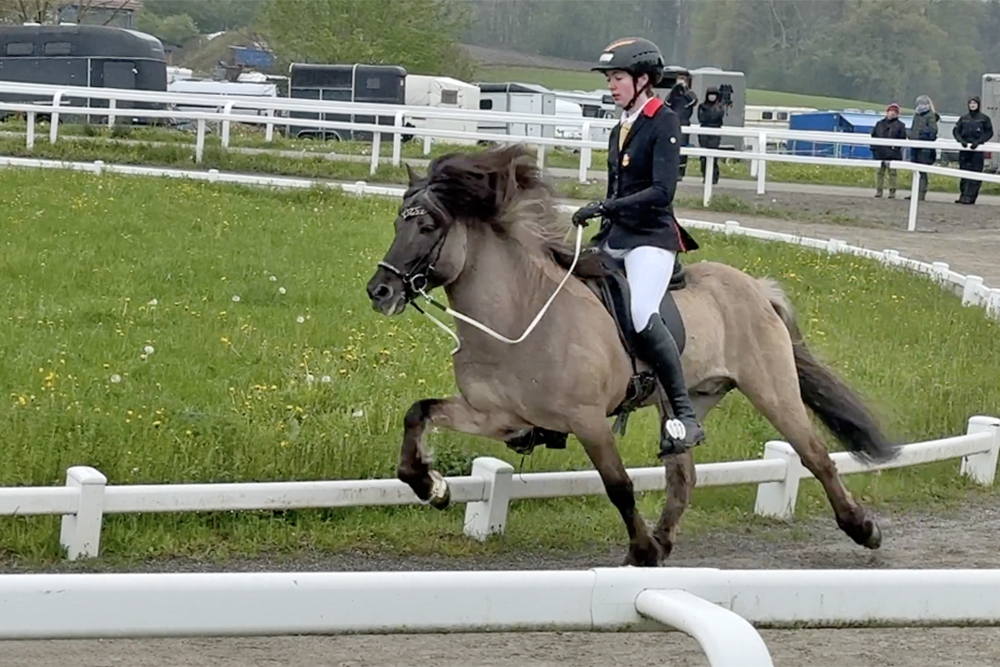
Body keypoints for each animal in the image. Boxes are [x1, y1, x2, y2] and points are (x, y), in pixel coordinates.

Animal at [368, 144, 900, 568]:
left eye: (429, 225)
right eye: (396, 222)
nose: (380, 290)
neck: (519, 314)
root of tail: (755, 287)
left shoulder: (587, 419)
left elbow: (618, 484)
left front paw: (640, 550)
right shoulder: (499, 416)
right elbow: (417, 414)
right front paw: (432, 487)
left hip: (772, 389)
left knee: (815, 456)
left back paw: (863, 528)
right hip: (686, 402)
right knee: (683, 476)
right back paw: (664, 541)